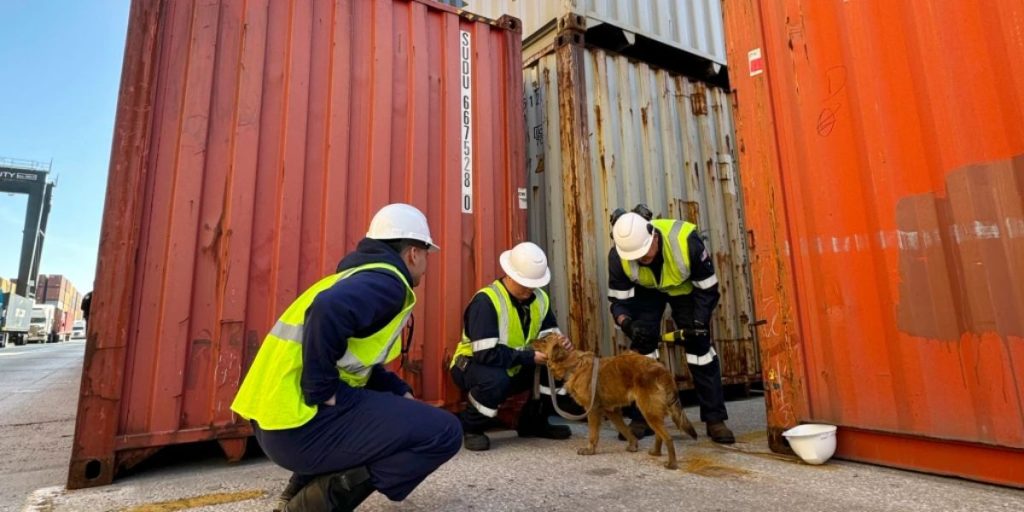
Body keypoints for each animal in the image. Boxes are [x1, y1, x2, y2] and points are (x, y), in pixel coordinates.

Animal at [528, 333, 696, 468]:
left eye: (544, 340)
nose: (530, 341)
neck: (574, 364)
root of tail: (662, 369)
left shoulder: (593, 410)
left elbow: (593, 433)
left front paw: (590, 450)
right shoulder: (612, 410)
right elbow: (625, 429)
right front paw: (633, 445)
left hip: (648, 409)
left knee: (667, 437)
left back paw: (672, 463)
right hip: (651, 410)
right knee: (659, 434)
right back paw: (655, 452)